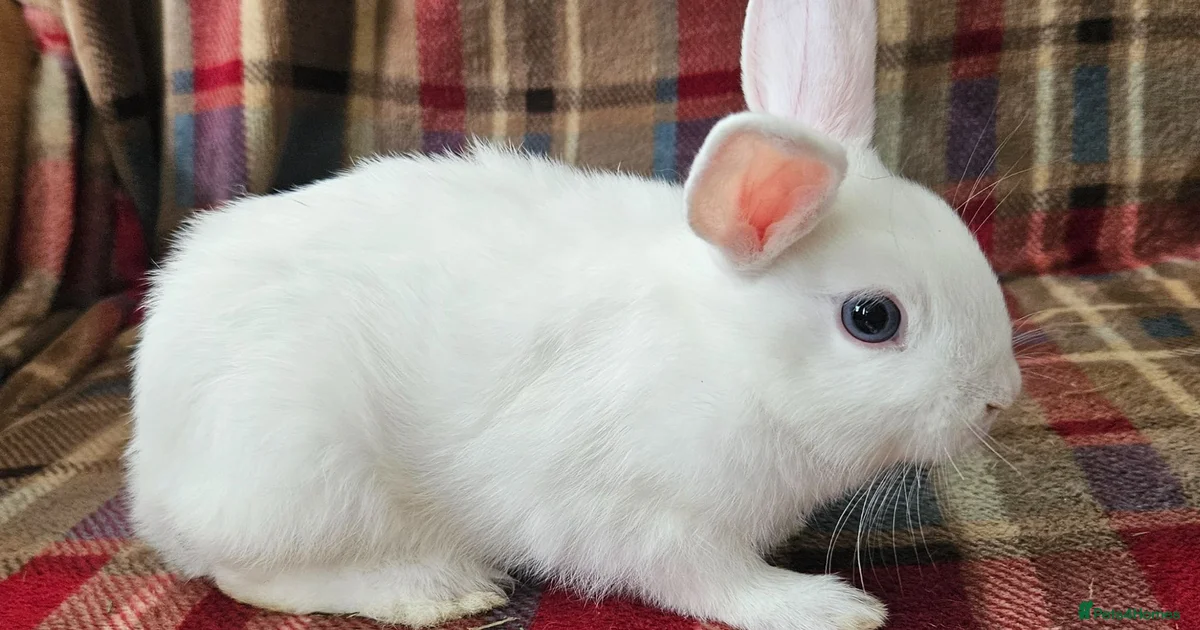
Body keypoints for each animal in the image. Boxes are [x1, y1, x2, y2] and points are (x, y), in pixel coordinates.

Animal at [124, 0, 1021, 628]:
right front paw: (829, 607)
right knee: (250, 573)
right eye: (873, 318)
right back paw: (434, 589)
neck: (729, 356)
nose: (997, 400)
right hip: (302, 464)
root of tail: (153, 477)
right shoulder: (653, 518)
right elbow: (716, 584)